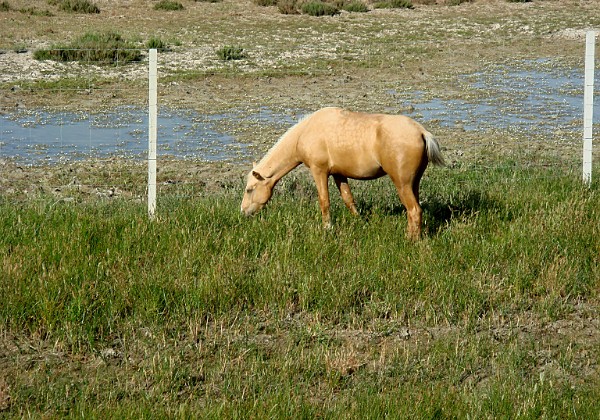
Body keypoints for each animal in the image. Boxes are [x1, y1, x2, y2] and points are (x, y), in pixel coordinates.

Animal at [240, 106, 446, 240]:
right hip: (413, 183)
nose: (243, 212)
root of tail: (422, 132)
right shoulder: (339, 174)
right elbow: (348, 199)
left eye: (250, 189)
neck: (307, 130)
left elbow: (324, 201)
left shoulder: (319, 171)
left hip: (402, 184)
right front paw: (360, 221)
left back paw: (411, 240)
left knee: (414, 210)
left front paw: (327, 228)